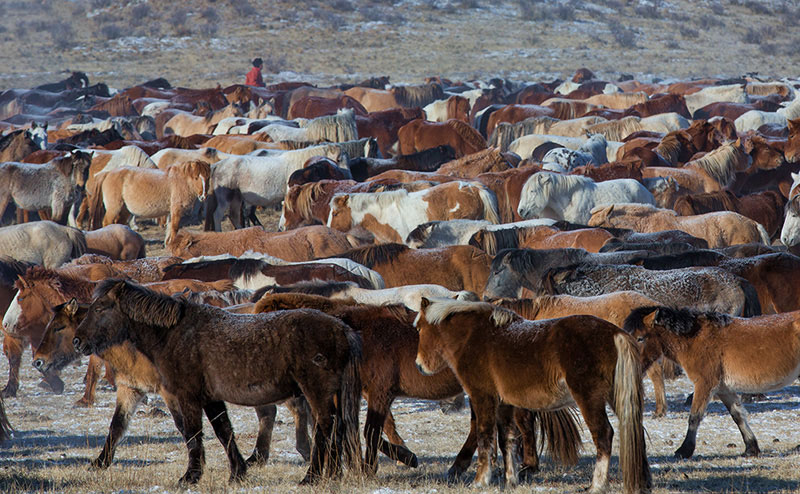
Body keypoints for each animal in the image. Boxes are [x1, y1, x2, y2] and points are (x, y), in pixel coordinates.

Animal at [73, 279, 363, 485]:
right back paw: (333, 475)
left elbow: (193, 434)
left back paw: (311, 477)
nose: (77, 341)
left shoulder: (187, 396)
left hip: (316, 392)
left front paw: (190, 476)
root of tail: (342, 330)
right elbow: (224, 432)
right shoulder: (211, 398)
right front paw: (237, 473)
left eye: (100, 308)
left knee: (325, 427)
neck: (174, 333)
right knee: (336, 429)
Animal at [415, 298, 651, 493]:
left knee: (603, 435)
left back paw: (596, 486)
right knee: (635, 431)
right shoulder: (504, 404)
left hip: (589, 398)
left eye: (419, 329)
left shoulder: (483, 398)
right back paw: (642, 483)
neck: (476, 336)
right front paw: (510, 481)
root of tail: (615, 333)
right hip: (617, 398)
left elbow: (485, 437)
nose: (418, 365)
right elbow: (507, 439)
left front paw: (480, 481)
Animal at [623, 306, 800, 459]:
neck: (694, 338)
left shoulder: (704, 384)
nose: (629, 367)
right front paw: (751, 448)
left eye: (640, 338)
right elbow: (738, 415)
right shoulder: (723, 389)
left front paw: (684, 450)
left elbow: (694, 417)